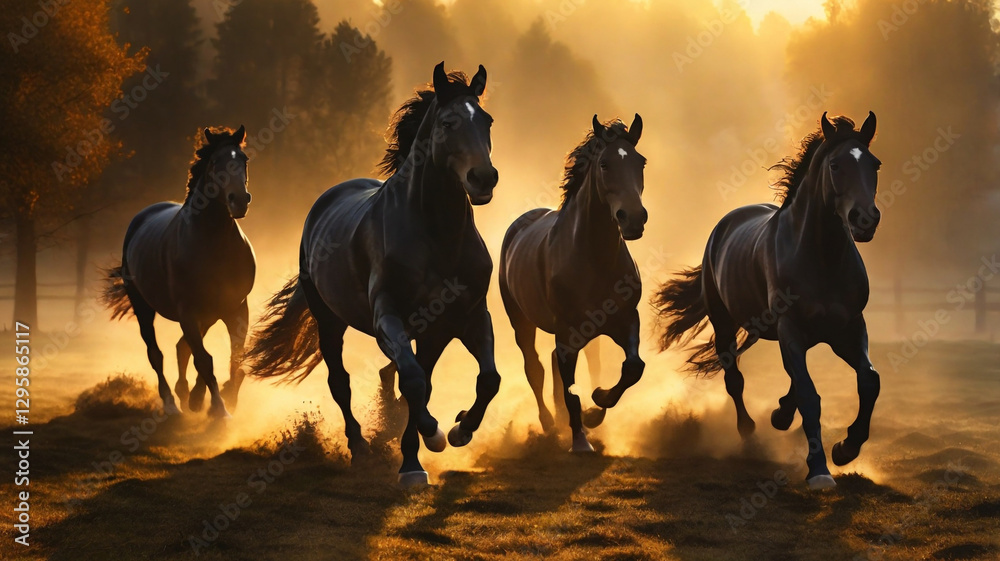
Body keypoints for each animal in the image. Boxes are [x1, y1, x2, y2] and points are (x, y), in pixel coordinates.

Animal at [102, 126, 256, 418]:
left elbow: (234, 357)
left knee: (183, 347)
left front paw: (223, 397)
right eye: (215, 162)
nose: (239, 201)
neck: (215, 245)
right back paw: (172, 403)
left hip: (208, 315)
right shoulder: (188, 312)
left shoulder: (235, 309)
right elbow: (204, 360)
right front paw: (219, 410)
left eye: (244, 160)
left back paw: (187, 395)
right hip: (143, 307)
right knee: (157, 353)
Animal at [246, 63, 500, 487]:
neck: (437, 236)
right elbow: (413, 382)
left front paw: (459, 430)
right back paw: (361, 447)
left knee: (405, 375)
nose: (484, 178)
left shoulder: (465, 318)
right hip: (329, 321)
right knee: (342, 382)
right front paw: (428, 442)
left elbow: (485, 379)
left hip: (427, 333)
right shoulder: (388, 317)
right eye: (448, 122)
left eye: (487, 121)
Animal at [499, 115, 647, 452]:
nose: (634, 218)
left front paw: (597, 405)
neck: (594, 258)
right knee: (535, 368)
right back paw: (549, 424)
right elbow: (569, 388)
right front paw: (581, 441)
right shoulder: (568, 331)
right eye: (604, 164)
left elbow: (633, 367)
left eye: (641, 162)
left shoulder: (626, 320)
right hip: (521, 322)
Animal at [653, 112, 881, 489]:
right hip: (725, 324)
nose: (865, 220)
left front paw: (846, 449)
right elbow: (809, 394)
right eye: (835, 165)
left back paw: (780, 415)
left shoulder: (848, 328)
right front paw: (819, 470)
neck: (822, 257)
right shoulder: (792, 328)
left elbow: (869, 381)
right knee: (735, 379)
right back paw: (750, 434)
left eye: (875, 164)